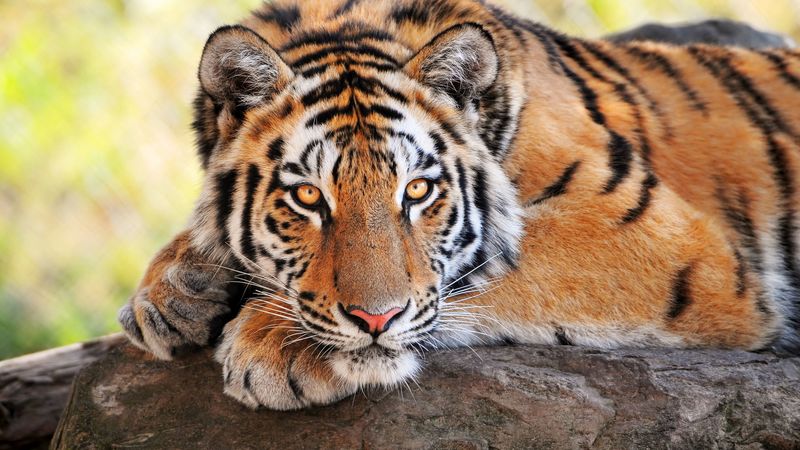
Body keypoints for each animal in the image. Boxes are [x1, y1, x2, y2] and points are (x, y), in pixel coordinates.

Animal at [117, 0, 800, 410]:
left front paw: (274, 343)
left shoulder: (664, 239)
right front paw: (172, 292)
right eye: (308, 196)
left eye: (417, 191)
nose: (375, 321)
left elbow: (485, 269)